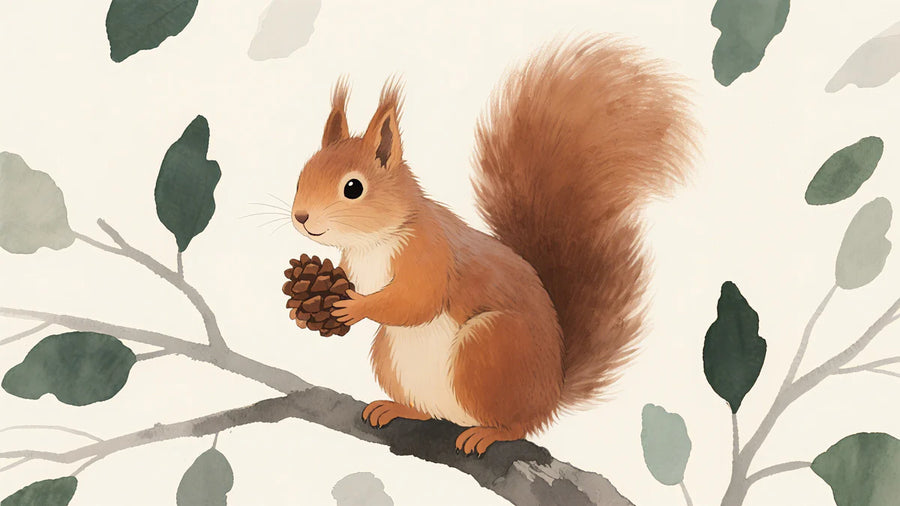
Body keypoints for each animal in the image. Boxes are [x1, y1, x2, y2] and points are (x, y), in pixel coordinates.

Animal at [290, 36, 696, 455]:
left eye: (353, 188)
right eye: (302, 175)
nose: (300, 216)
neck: (372, 242)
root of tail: (551, 394)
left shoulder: (428, 252)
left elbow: (416, 300)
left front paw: (354, 306)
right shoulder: (353, 265)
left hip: (488, 347)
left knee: (517, 425)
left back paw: (489, 433)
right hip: (391, 357)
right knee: (429, 410)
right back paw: (398, 408)